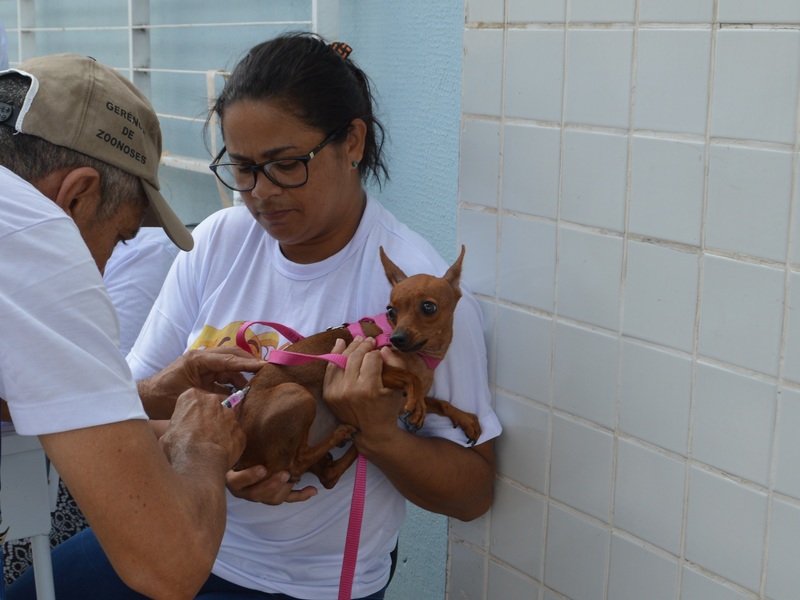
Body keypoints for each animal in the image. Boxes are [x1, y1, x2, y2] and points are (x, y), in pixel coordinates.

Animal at [231, 246, 482, 490]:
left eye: (428, 307)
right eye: (391, 311)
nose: (396, 339)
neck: (423, 357)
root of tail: (241, 457)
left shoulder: (401, 398)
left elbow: (438, 401)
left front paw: (464, 418)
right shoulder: (377, 369)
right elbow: (411, 378)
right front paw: (419, 408)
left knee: (328, 475)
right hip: (296, 393)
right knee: (298, 461)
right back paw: (340, 434)